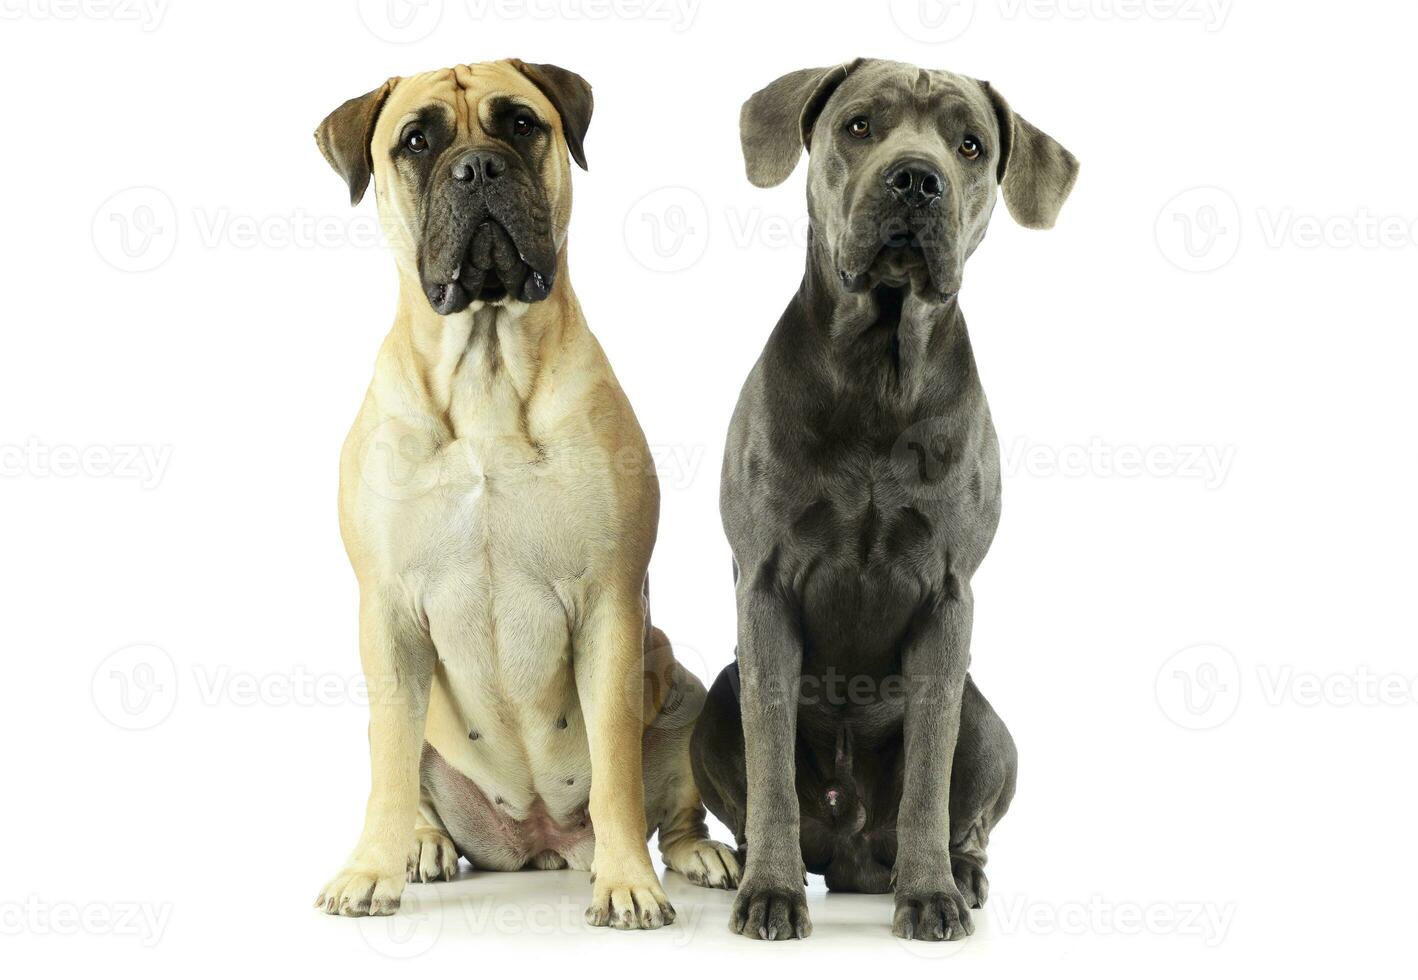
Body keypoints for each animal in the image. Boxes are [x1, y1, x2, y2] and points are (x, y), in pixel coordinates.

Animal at [307, 59, 731, 930]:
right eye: (417, 141)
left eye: (521, 125)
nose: (478, 168)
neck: (486, 366)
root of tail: (539, 838)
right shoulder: (387, 614)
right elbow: (388, 768)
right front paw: (370, 870)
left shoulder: (609, 605)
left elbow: (614, 768)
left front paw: (628, 881)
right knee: (407, 770)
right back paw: (423, 845)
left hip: (681, 691)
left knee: (673, 806)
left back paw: (694, 854)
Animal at [686, 59, 1072, 941]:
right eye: (859, 125)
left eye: (970, 144)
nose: (916, 179)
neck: (877, 377)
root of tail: (852, 849)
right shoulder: (764, 591)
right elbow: (770, 772)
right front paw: (771, 891)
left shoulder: (947, 600)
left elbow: (929, 775)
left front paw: (929, 895)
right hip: (717, 697)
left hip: (989, 724)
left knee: (964, 810)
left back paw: (961, 875)